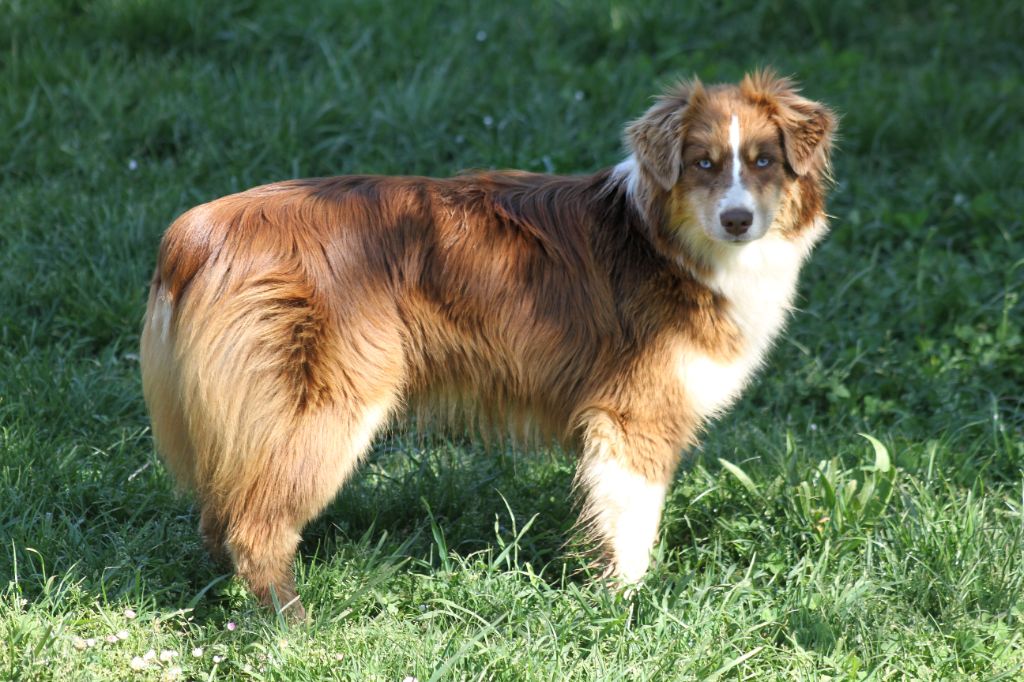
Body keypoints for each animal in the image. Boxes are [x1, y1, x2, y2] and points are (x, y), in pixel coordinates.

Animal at [140, 69, 835, 614]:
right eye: (703, 163)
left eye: (765, 161)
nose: (737, 220)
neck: (668, 243)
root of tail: (196, 233)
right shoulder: (635, 417)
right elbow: (632, 527)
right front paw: (629, 609)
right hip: (322, 410)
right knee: (255, 527)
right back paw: (293, 626)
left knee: (219, 515)